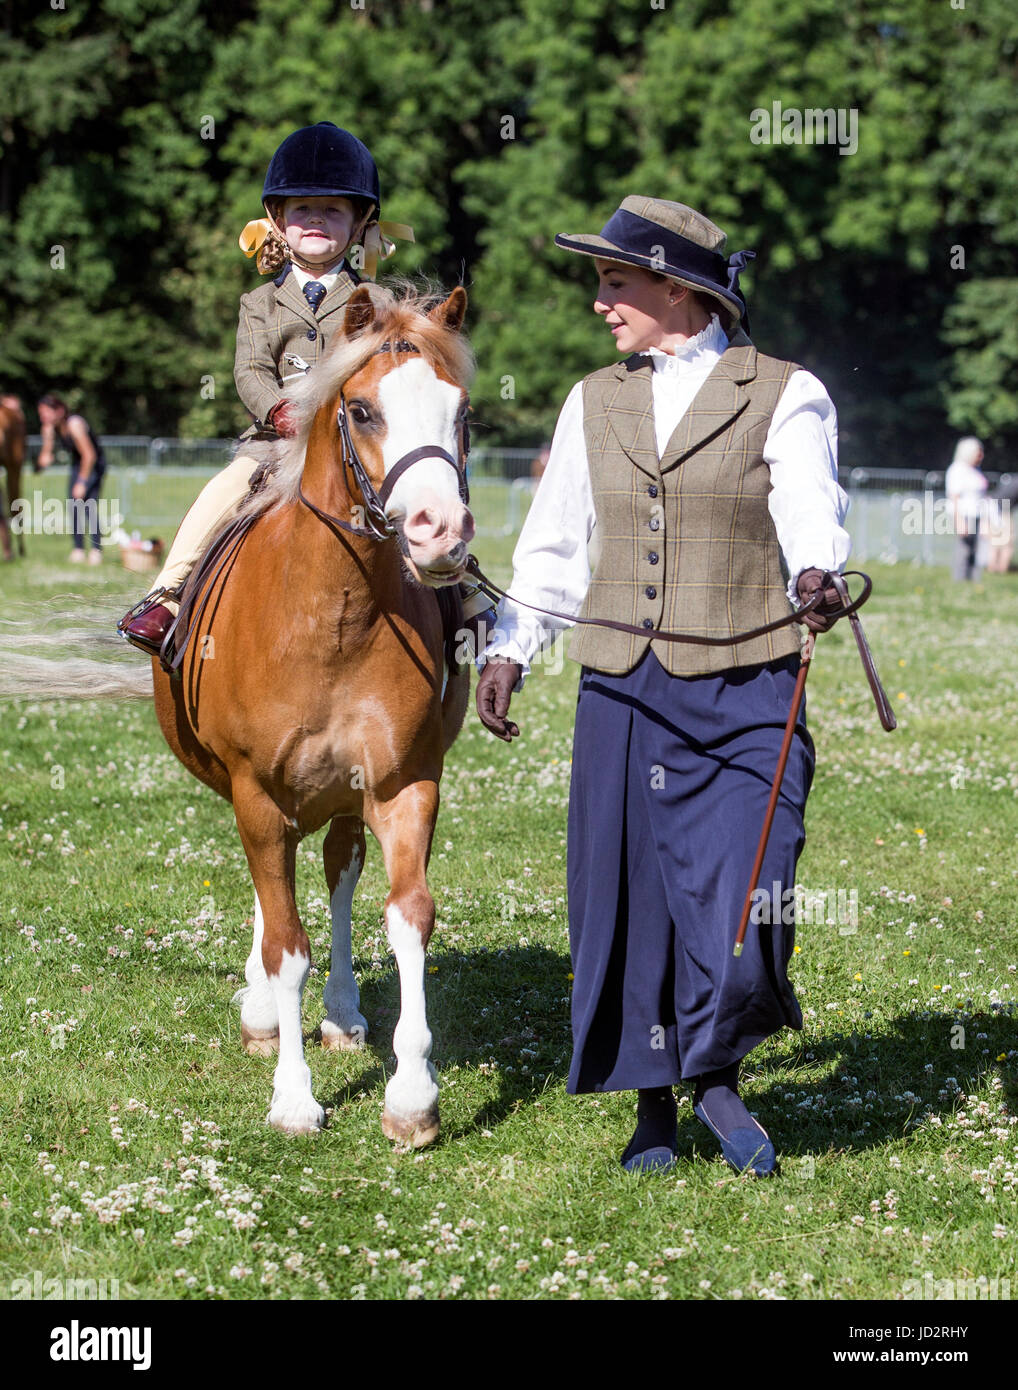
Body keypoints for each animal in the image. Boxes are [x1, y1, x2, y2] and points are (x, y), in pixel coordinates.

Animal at [152, 282, 478, 1139]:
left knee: (334, 876)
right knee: (276, 906)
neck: (333, 613)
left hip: (339, 799)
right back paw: (267, 1013)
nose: (441, 532)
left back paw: (340, 1012)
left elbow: (407, 915)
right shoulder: (257, 792)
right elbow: (284, 944)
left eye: (461, 412)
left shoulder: (403, 784)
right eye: (361, 410)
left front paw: (411, 1093)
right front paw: (294, 1097)